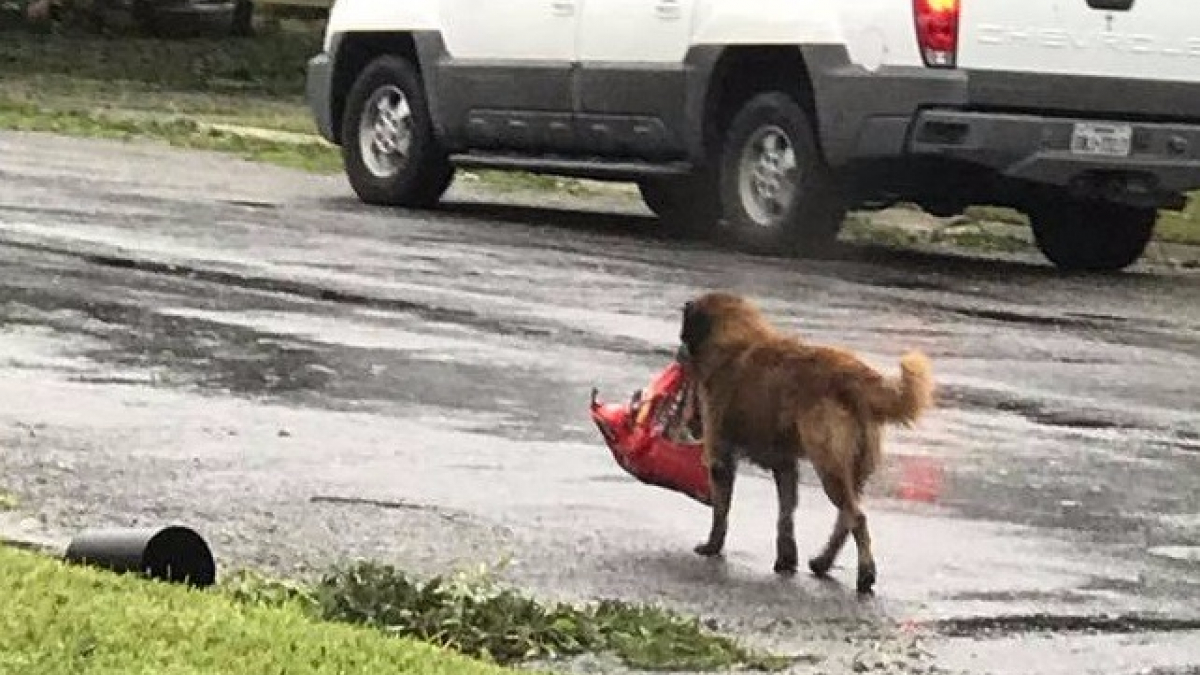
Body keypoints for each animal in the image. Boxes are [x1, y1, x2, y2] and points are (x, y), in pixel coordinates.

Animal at [681, 291, 931, 590]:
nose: (679, 353)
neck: (736, 340)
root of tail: (852, 374)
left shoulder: (721, 456)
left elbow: (721, 510)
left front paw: (712, 547)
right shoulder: (785, 465)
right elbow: (786, 515)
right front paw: (786, 559)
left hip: (829, 465)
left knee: (856, 517)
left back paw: (865, 574)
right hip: (852, 470)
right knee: (846, 518)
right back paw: (822, 562)